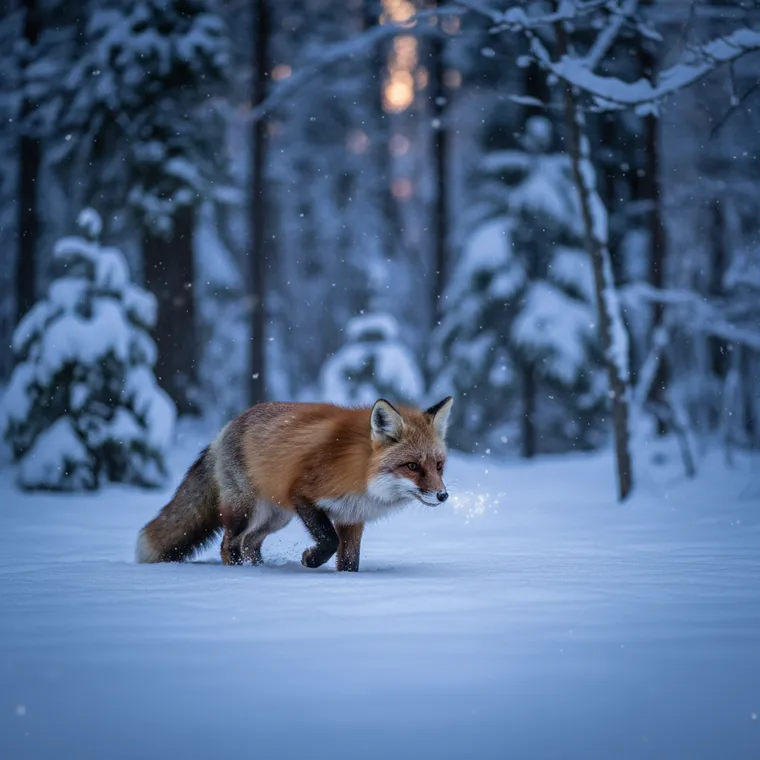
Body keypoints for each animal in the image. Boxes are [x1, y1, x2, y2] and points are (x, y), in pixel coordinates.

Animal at [136, 396, 453, 572]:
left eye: (438, 466)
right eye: (412, 466)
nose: (442, 495)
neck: (362, 472)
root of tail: (225, 429)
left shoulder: (352, 517)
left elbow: (350, 561)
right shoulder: (303, 494)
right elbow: (328, 540)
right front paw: (310, 560)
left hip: (276, 517)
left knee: (250, 543)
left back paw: (259, 570)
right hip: (247, 510)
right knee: (229, 544)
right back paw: (237, 575)